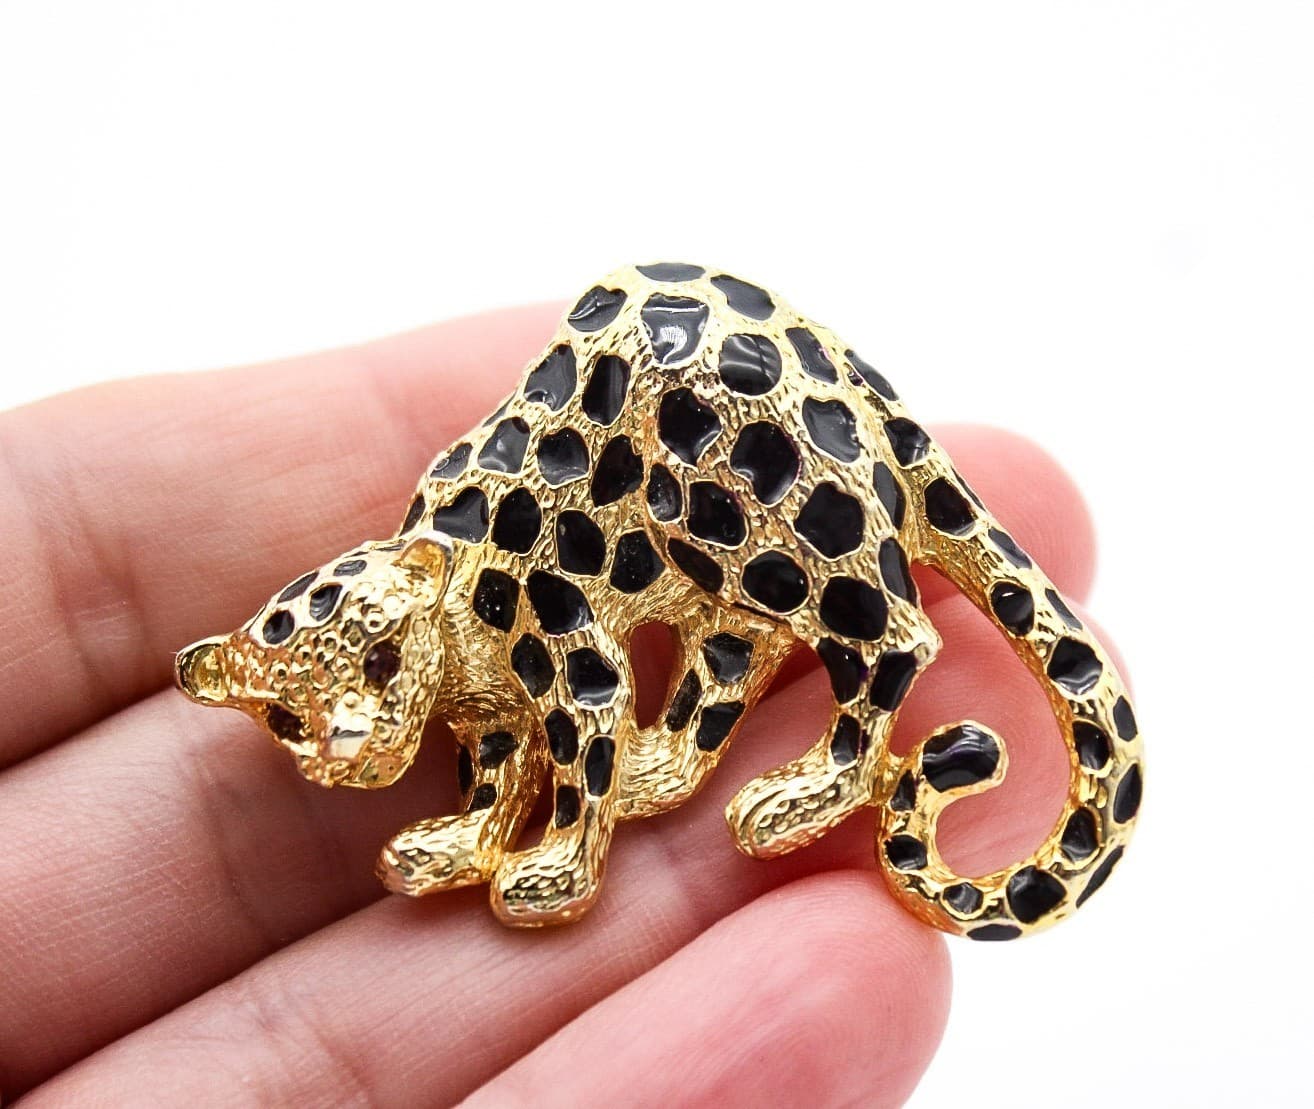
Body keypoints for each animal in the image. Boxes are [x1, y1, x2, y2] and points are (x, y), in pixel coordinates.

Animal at [176, 262, 1142, 938]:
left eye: (381, 653)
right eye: (285, 715)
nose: (348, 747)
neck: (459, 642)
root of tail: (833, 350)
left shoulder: (571, 654)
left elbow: (576, 761)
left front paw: (553, 872)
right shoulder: (488, 712)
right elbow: (494, 773)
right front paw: (455, 844)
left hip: (764, 528)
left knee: (891, 639)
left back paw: (800, 795)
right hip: (716, 570)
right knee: (735, 656)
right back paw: (663, 768)